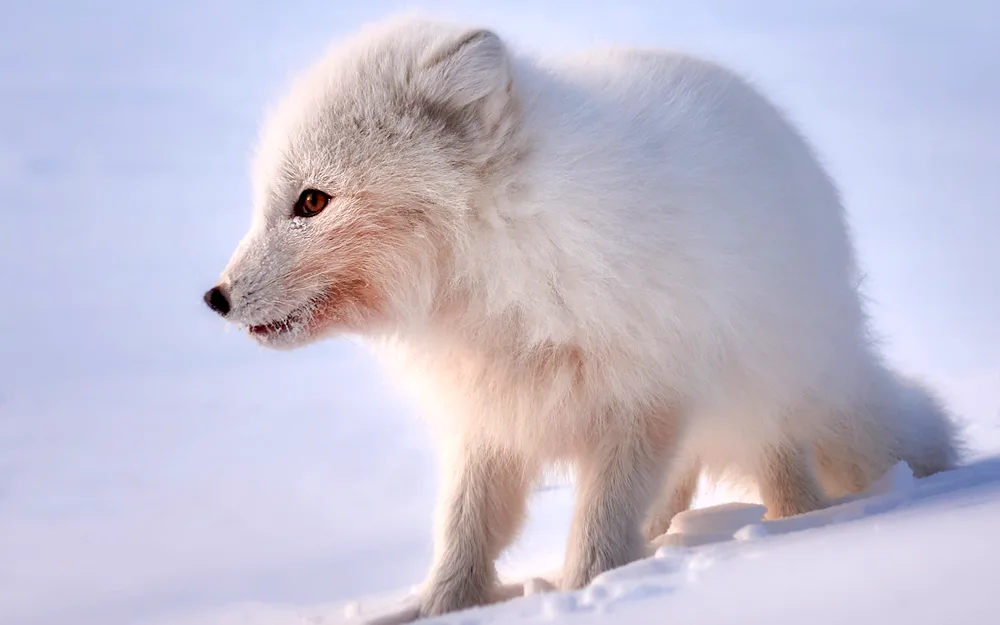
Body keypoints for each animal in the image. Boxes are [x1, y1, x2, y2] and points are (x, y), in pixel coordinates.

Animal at [203, 14, 960, 620]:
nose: (215, 298)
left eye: (311, 201)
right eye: (270, 200)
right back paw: (667, 542)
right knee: (678, 490)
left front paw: (587, 593)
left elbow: (597, 532)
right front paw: (439, 609)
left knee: (784, 476)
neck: (506, 258)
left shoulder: (639, 402)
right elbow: (463, 535)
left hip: (763, 395)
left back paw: (786, 533)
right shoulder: (489, 417)